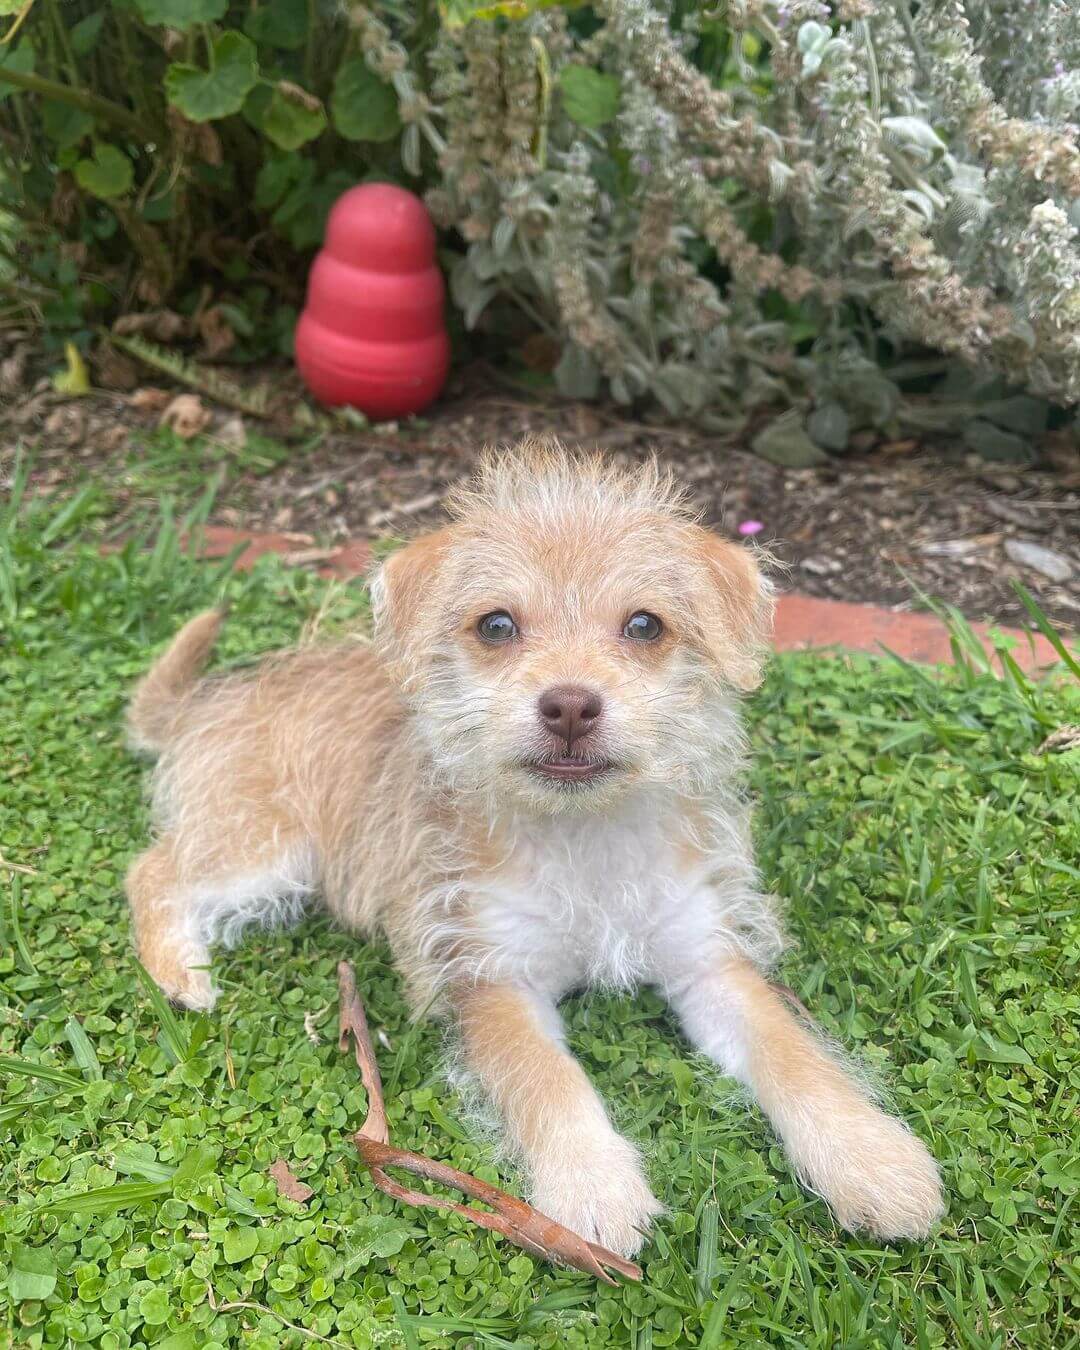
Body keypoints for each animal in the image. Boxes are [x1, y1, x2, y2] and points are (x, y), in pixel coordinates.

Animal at [126, 442, 945, 1252]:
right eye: (496, 626)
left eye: (645, 626)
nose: (571, 705)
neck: (585, 833)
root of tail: (205, 699)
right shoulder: (493, 977)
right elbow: (546, 1079)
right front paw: (592, 1187)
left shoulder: (709, 960)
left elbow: (791, 1052)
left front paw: (872, 1158)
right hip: (266, 848)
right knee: (153, 867)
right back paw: (183, 974)